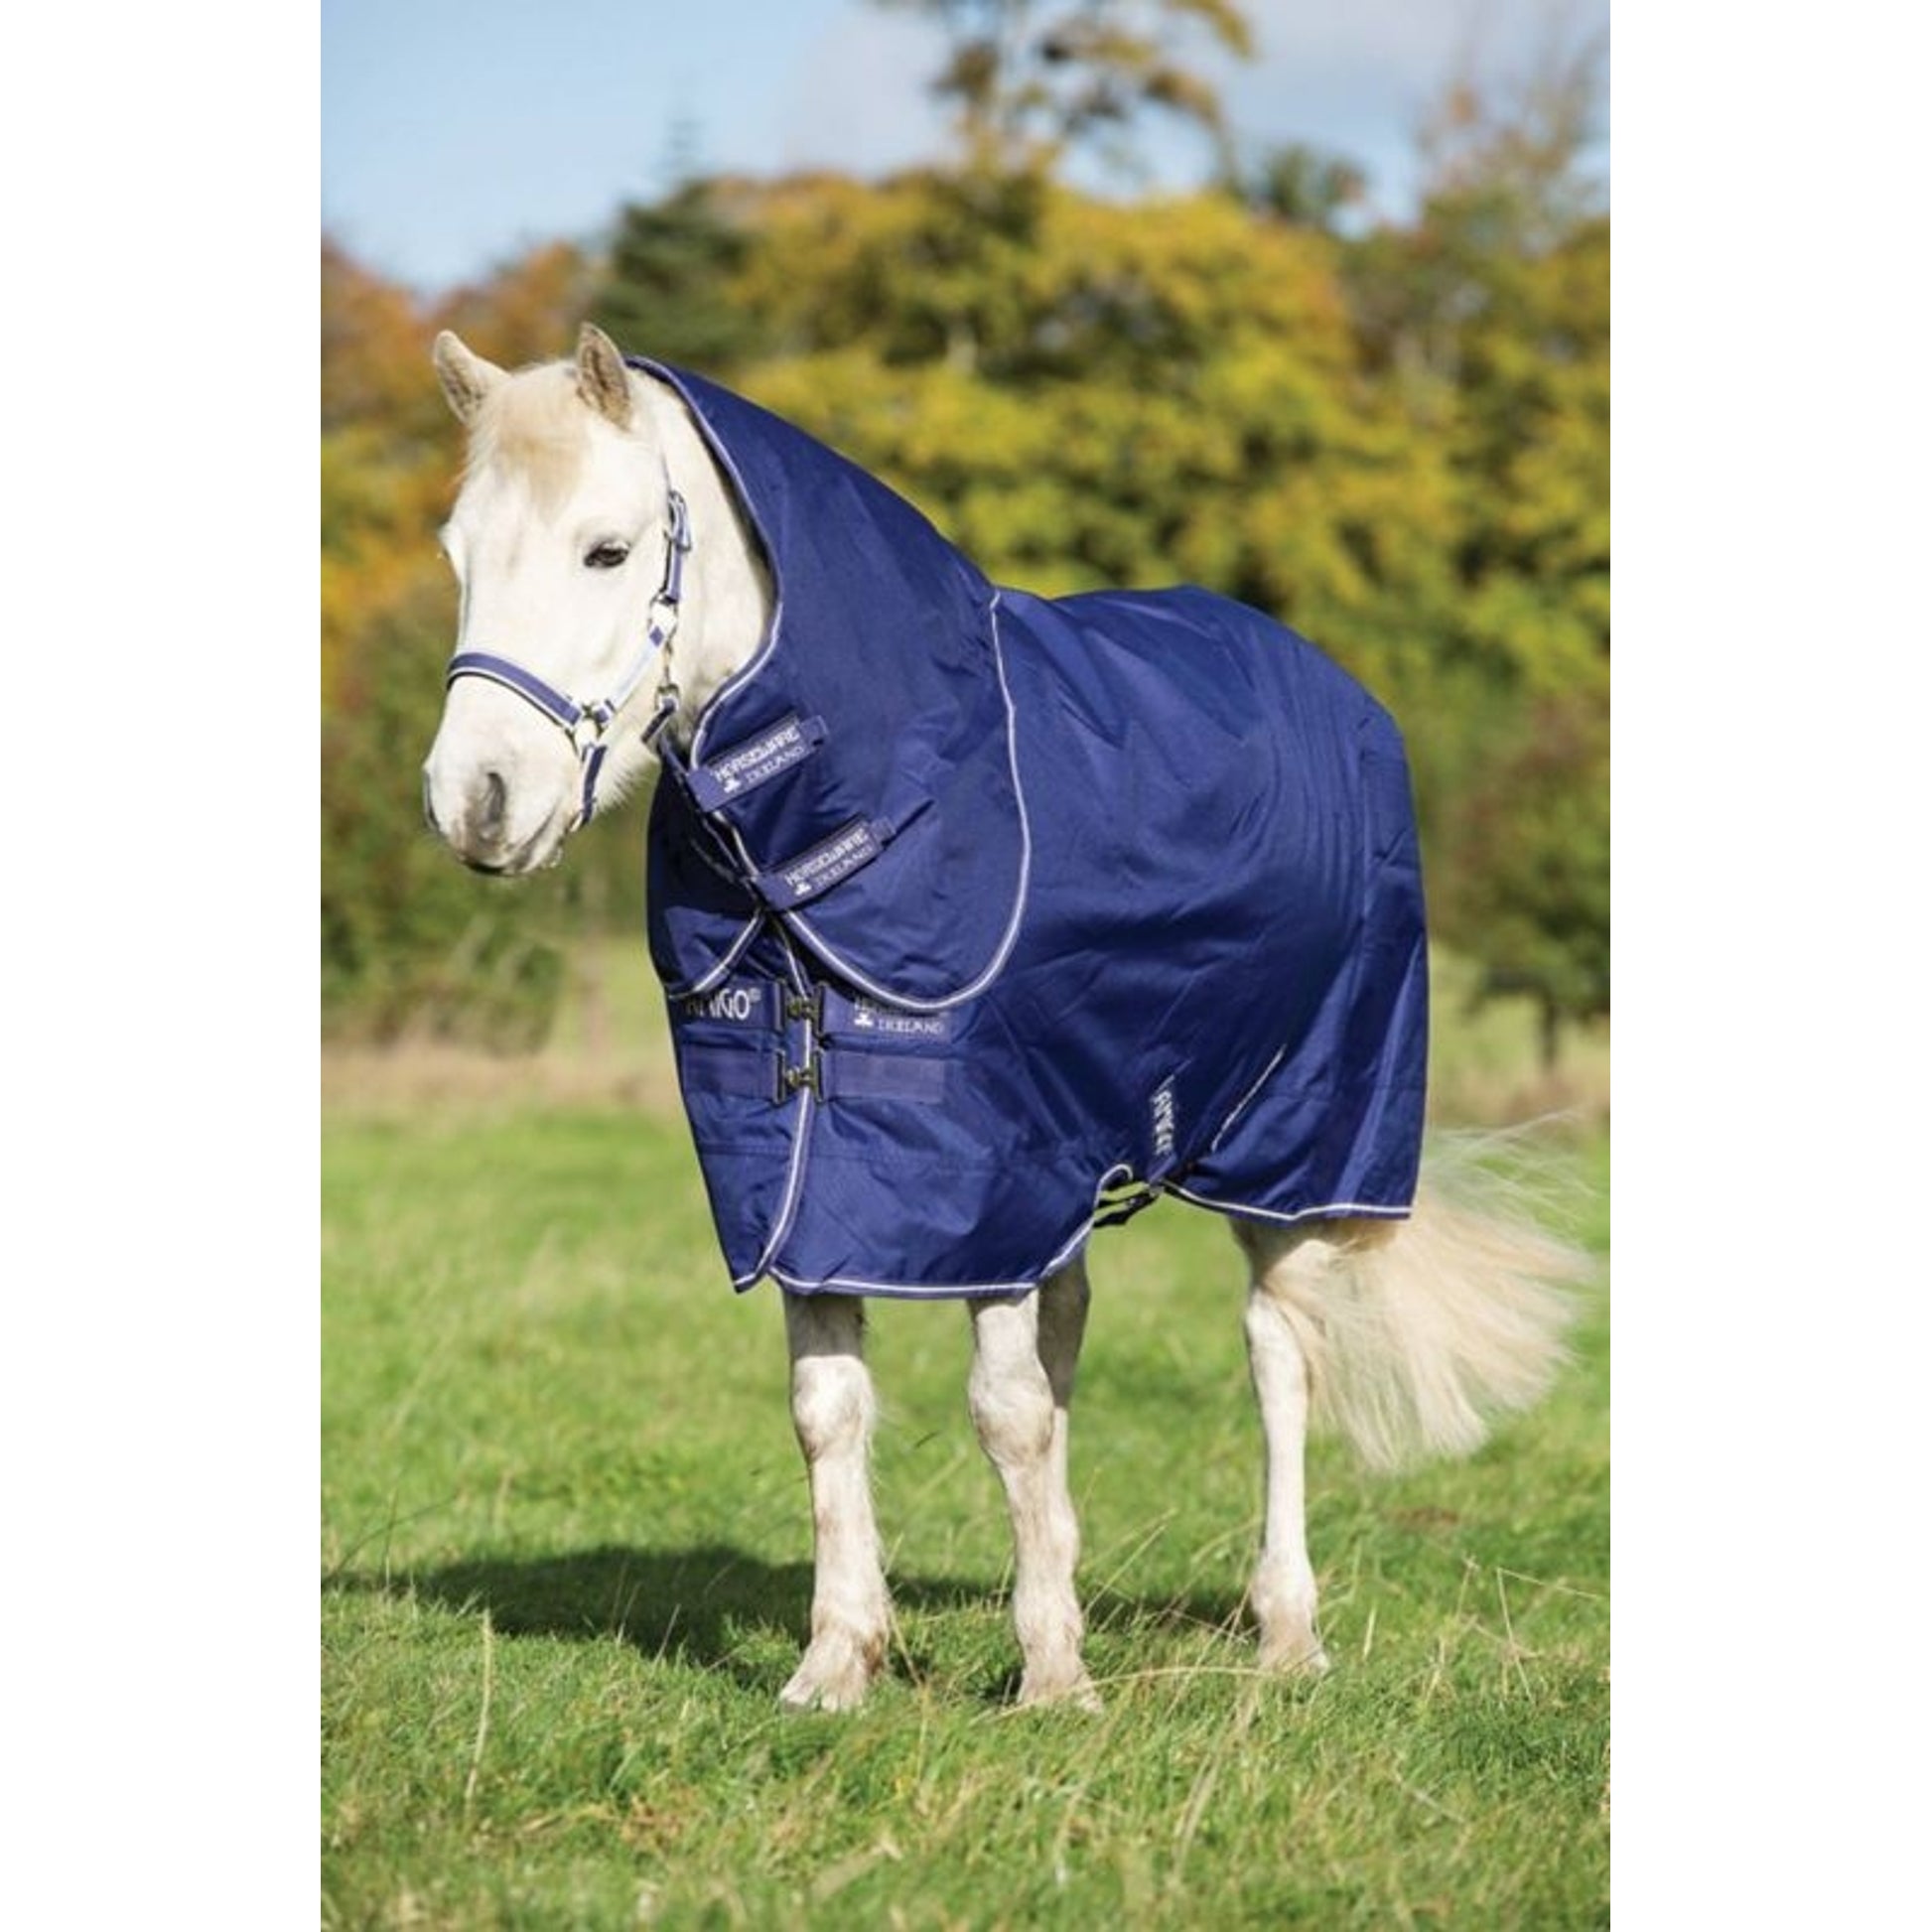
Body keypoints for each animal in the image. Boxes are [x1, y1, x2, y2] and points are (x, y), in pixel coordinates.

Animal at [420, 322, 1581, 1712]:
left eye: (606, 549)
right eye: (455, 553)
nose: (474, 802)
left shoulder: (989, 1181)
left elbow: (1003, 1411)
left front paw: (1052, 1681)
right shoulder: (816, 1182)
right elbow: (833, 1406)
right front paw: (838, 1660)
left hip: (1295, 1143)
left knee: (1275, 1353)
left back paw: (1286, 1631)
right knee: (1077, 1340)